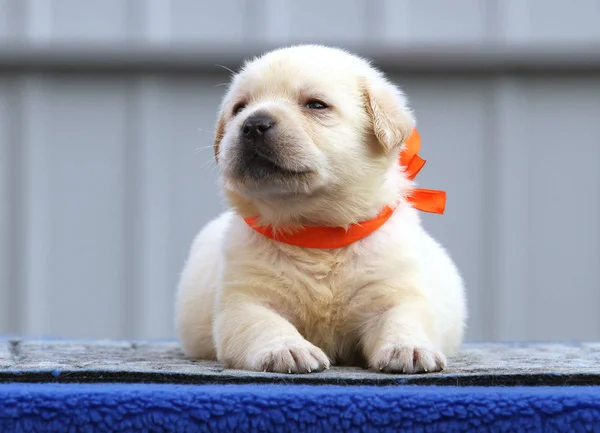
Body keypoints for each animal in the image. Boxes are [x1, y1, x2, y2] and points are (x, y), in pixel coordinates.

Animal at [176, 44, 466, 374]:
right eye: (239, 108)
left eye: (316, 105)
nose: (252, 124)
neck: (317, 231)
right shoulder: (244, 302)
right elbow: (266, 325)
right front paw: (288, 349)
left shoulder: (395, 292)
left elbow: (403, 320)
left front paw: (409, 349)